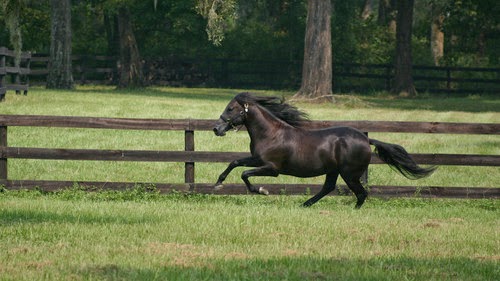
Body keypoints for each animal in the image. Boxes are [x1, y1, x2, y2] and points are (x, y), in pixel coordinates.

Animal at [213, 92, 436, 208]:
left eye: (231, 109)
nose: (216, 128)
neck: (271, 133)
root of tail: (366, 139)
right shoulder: (256, 159)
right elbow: (234, 163)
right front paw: (218, 183)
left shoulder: (271, 168)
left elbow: (244, 173)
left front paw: (262, 190)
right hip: (333, 171)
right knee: (328, 188)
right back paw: (305, 205)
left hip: (349, 174)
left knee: (361, 193)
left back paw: (352, 210)